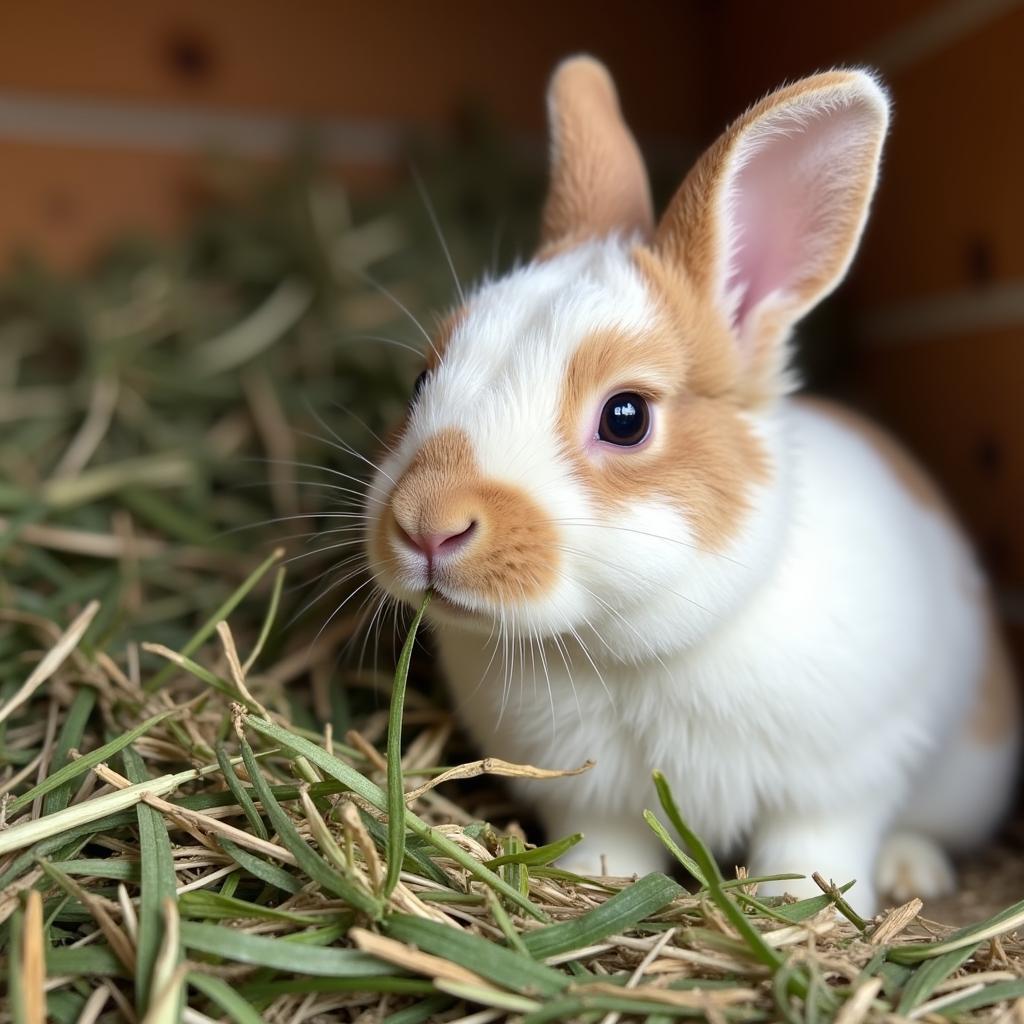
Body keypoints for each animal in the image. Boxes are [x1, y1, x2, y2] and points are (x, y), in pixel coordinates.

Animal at [364, 59, 1019, 917]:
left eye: (626, 417)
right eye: (418, 383)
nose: (425, 524)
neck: (624, 652)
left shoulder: (840, 780)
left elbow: (814, 848)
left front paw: (801, 908)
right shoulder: (590, 794)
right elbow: (608, 846)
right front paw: (602, 887)